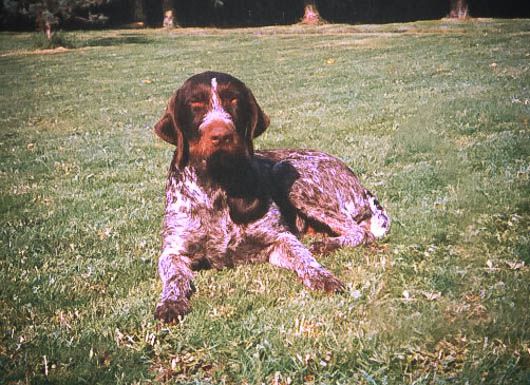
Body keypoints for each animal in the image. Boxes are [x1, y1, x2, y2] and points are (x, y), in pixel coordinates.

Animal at [153, 71, 388, 320]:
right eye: (195, 104)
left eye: (234, 100)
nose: (222, 135)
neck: (218, 186)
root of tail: (361, 186)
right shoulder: (174, 251)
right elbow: (175, 276)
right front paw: (171, 301)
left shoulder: (279, 239)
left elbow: (303, 257)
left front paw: (322, 275)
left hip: (286, 171)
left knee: (360, 232)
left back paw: (326, 244)